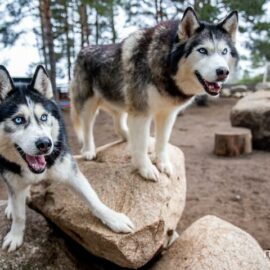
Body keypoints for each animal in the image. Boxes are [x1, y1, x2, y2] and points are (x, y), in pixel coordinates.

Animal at [0, 65, 134, 251]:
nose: (45, 144)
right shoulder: (12, 178)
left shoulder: (70, 172)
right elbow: (19, 214)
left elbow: (93, 199)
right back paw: (11, 206)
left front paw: (114, 219)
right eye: (18, 120)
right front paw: (15, 235)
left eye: (44, 117)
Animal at [70, 7, 238, 181]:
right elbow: (142, 145)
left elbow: (162, 142)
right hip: (88, 105)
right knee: (87, 128)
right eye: (202, 50)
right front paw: (146, 169)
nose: (223, 72)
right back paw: (88, 151)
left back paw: (128, 136)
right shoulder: (141, 113)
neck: (165, 66)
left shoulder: (167, 114)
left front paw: (163, 164)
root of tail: (82, 50)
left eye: (224, 51)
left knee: (118, 125)